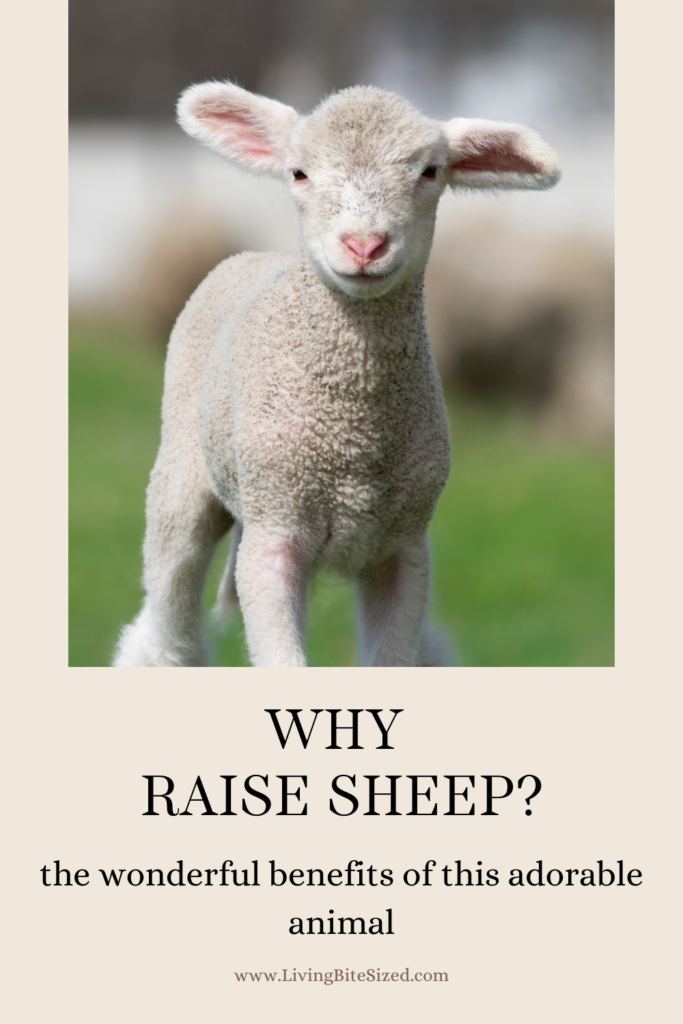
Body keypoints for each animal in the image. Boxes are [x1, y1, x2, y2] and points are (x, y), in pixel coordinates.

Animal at [113, 81, 560, 668]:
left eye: (430, 172)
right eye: (299, 173)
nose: (365, 246)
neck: (352, 438)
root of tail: (257, 256)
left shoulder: (403, 547)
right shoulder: (274, 532)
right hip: (183, 475)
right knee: (166, 619)